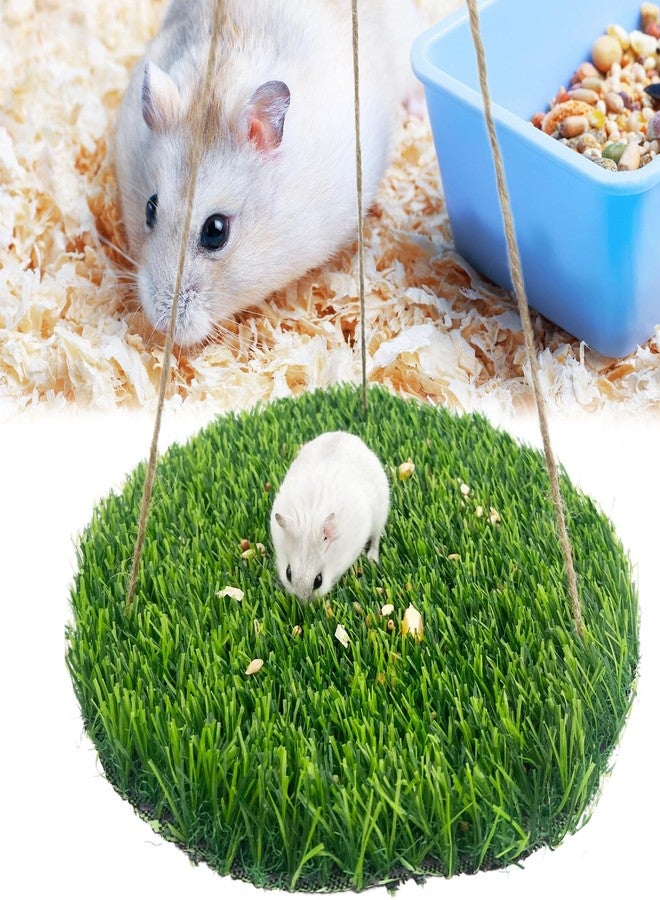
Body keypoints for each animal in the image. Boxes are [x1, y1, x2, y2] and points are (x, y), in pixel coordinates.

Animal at [270, 431, 390, 601]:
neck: (311, 520)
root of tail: (346, 435)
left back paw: (371, 559)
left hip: (381, 512)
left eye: (318, 581)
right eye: (288, 573)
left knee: (376, 539)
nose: (303, 603)